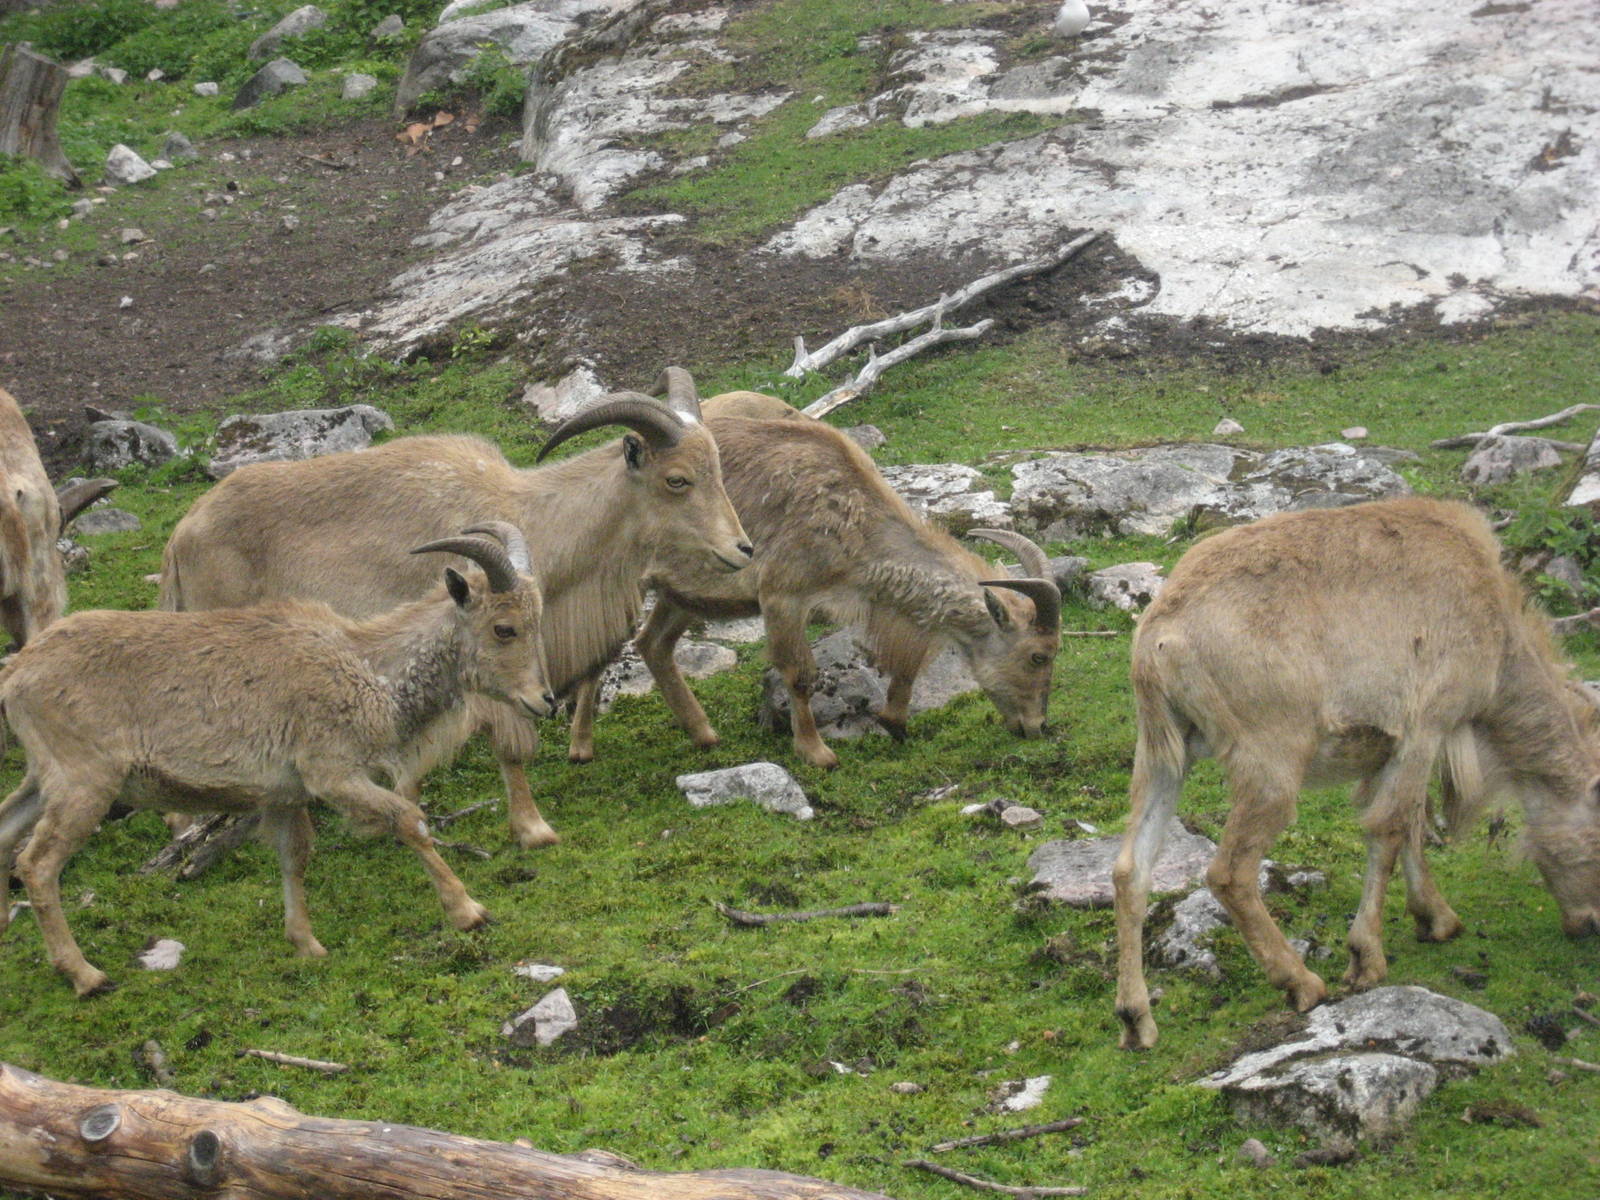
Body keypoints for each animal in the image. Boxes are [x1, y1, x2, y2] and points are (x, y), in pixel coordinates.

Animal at [0, 525, 553, 996]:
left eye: (537, 620)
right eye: (504, 628)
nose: (544, 700)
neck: (369, 672)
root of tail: (18, 673)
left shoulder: (285, 794)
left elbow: (294, 856)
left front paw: (307, 944)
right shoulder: (334, 772)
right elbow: (408, 820)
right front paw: (468, 910)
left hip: (43, 777)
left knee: (9, 828)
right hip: (84, 780)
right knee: (37, 863)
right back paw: (85, 975)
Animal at [158, 372, 751, 849]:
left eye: (720, 469)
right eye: (677, 479)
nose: (742, 549)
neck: (535, 519)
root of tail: (180, 539)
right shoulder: (485, 655)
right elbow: (510, 746)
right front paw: (533, 829)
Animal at [567, 390, 1062, 769]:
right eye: (1038, 655)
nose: (1037, 727)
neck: (849, 515)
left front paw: (894, 722)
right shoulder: (782, 596)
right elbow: (800, 673)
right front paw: (817, 752)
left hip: (684, 594)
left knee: (654, 644)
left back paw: (703, 734)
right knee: (598, 649)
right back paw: (581, 747)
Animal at [1112, 497, 1600, 1050]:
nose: (1589, 924)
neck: (1497, 633)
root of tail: (1160, 637)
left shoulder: (1402, 748)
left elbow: (1411, 824)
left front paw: (1436, 919)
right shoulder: (1425, 726)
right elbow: (1390, 828)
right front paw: (1366, 957)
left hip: (1162, 756)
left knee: (1131, 870)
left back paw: (1136, 1019)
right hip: (1271, 760)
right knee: (1229, 873)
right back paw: (1301, 982)